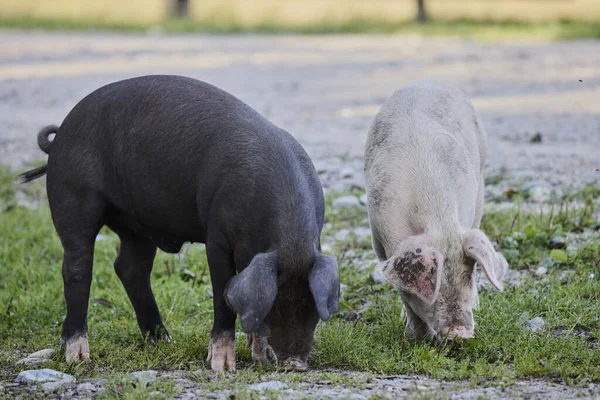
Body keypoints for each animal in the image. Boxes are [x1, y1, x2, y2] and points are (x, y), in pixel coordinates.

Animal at [18, 74, 340, 372]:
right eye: (277, 305)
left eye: (312, 307)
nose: (295, 364)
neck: (288, 239)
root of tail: (59, 136)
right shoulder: (216, 236)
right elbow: (223, 296)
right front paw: (222, 367)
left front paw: (258, 358)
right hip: (73, 199)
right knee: (76, 269)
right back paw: (78, 357)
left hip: (136, 225)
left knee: (129, 268)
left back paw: (161, 339)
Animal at [364, 80, 508, 340]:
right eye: (434, 285)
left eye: (469, 273)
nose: (460, 333)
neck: (438, 219)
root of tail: (429, 81)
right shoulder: (380, 240)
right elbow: (406, 298)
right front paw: (416, 337)